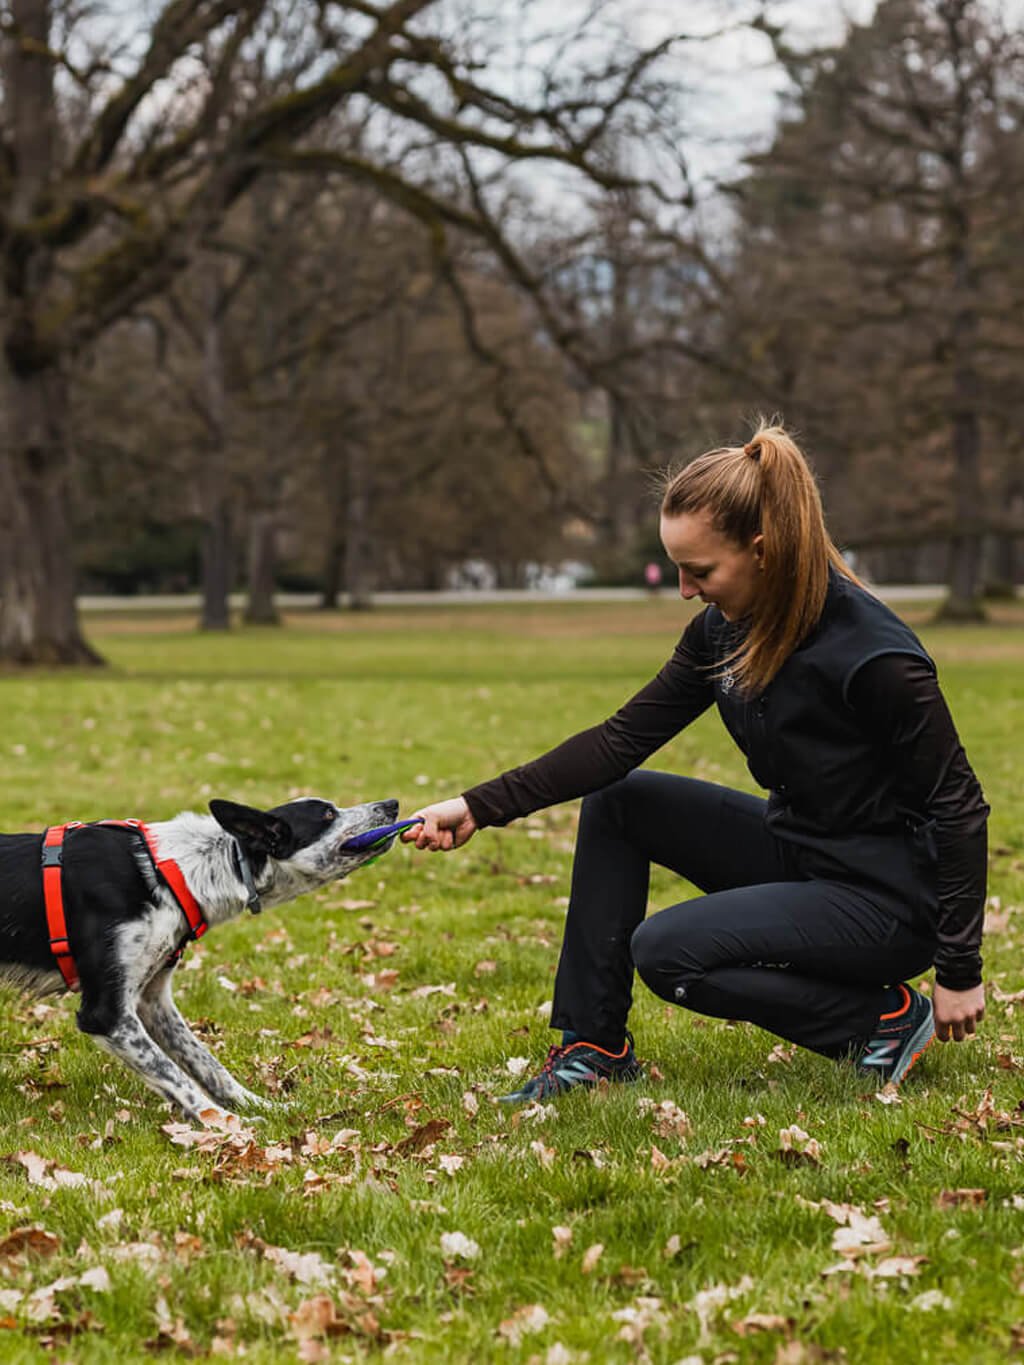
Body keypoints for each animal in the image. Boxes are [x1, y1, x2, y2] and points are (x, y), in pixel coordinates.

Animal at [0, 797, 401, 1124]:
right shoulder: (108, 1015)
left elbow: (207, 1065)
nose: (393, 804)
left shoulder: (152, 1002)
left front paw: (261, 1107)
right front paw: (228, 1126)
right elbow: (177, 1078)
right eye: (328, 814)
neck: (171, 872)